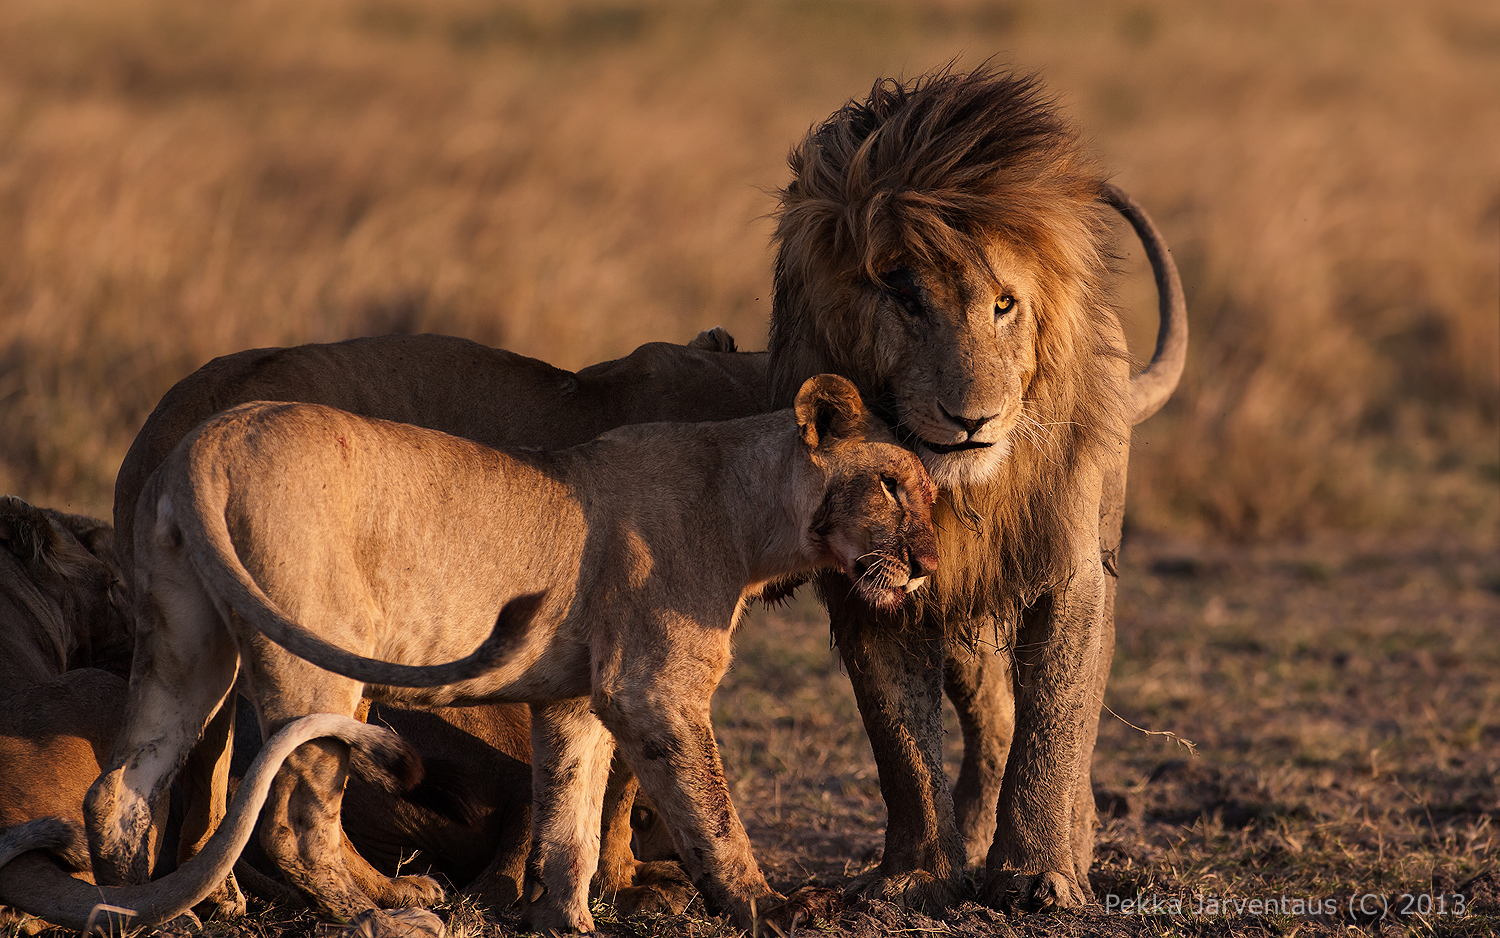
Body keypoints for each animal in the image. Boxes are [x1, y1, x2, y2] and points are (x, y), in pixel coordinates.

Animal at [87, 373, 936, 930]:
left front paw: (565, 920)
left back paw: (129, 908)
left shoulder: (575, 701)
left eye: (932, 496)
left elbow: (570, 821)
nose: (929, 561)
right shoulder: (654, 691)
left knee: (122, 788)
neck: (748, 507)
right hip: (321, 657)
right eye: (891, 484)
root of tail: (209, 442)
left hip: (185, 646)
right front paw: (772, 906)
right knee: (294, 815)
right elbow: (712, 812)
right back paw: (377, 915)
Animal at [768, 66, 1188, 906]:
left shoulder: (1072, 571)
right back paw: (969, 832)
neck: (957, 488)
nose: (973, 420)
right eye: (905, 297)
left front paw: (1038, 873)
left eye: (1003, 304)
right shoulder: (869, 586)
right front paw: (917, 874)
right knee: (990, 714)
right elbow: (899, 742)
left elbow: (1057, 720)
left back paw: (1069, 841)